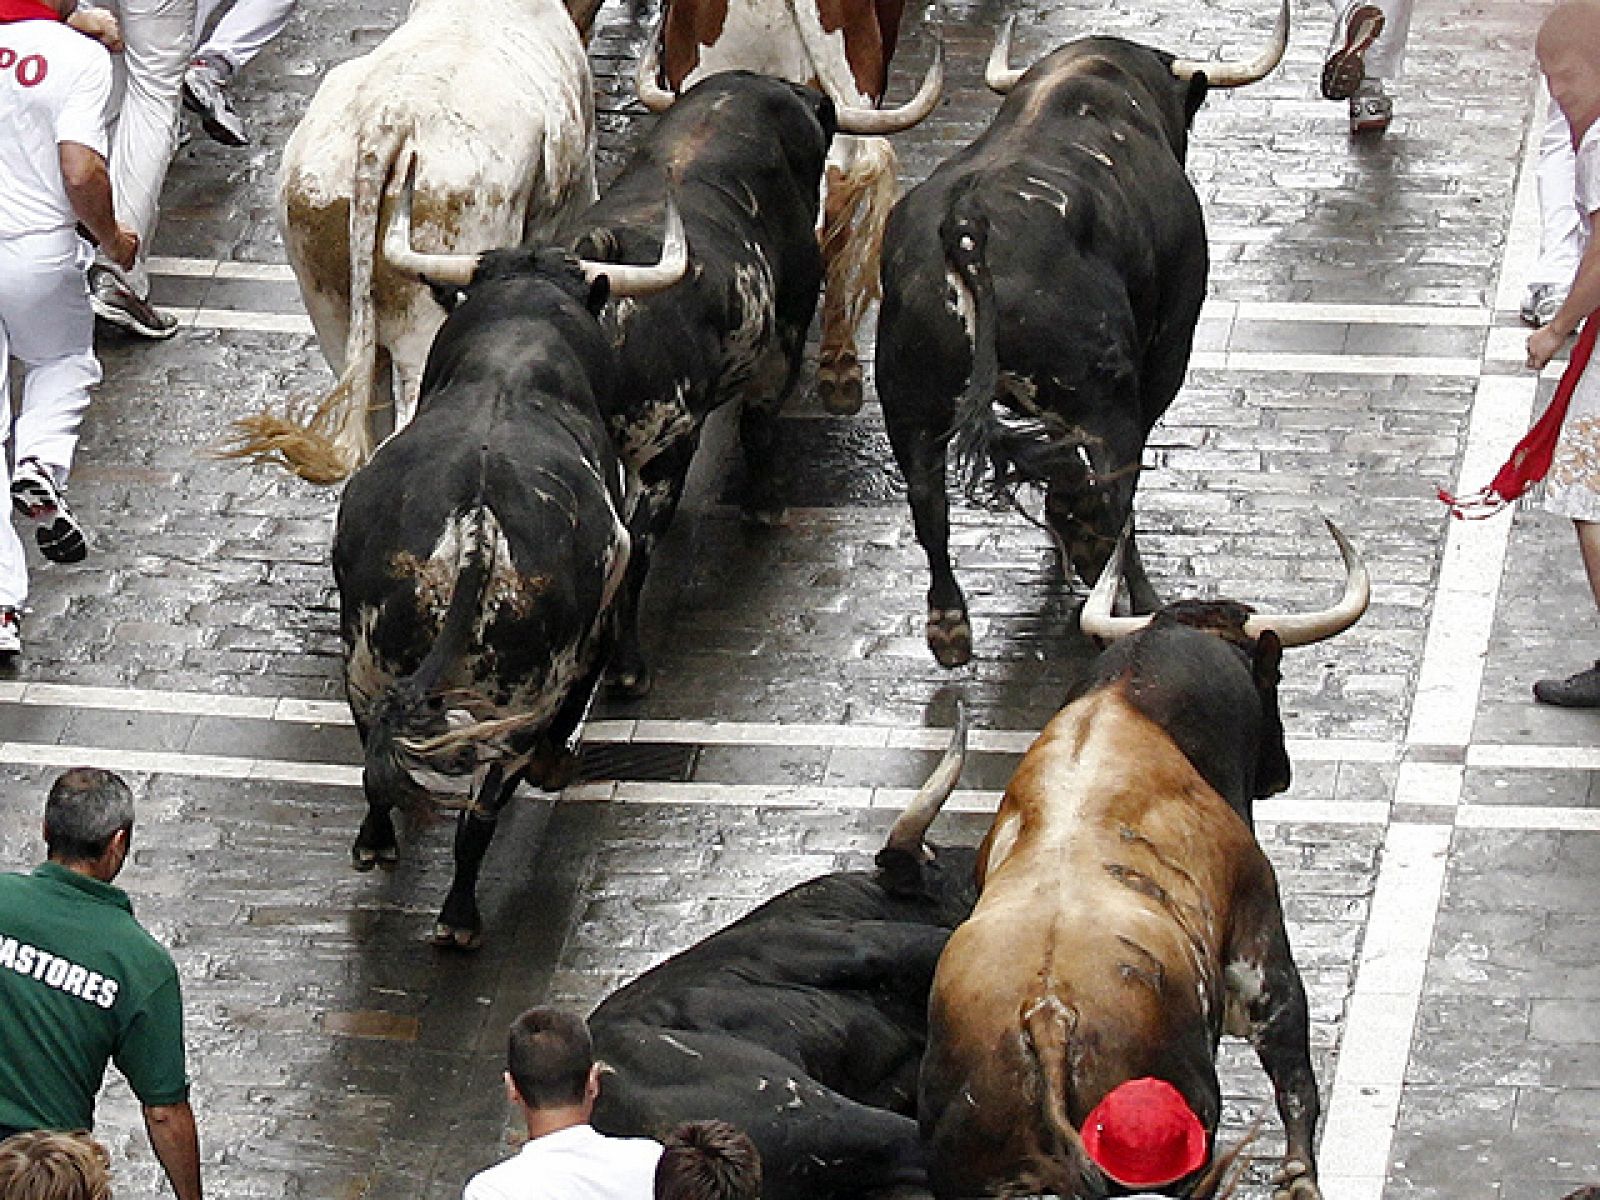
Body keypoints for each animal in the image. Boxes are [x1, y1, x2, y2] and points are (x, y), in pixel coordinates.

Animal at [870, 4, 1292, 672]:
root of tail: (967, 227)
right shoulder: (1167, 348)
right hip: (1105, 399)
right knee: (1118, 497)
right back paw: (1134, 597)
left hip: (907, 402)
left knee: (927, 503)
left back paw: (950, 627)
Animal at [883, 524, 1369, 1200]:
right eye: (1270, 681)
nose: (1282, 771)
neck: (1131, 708)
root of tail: (1048, 1018)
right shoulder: (1263, 946)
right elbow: (1296, 1082)